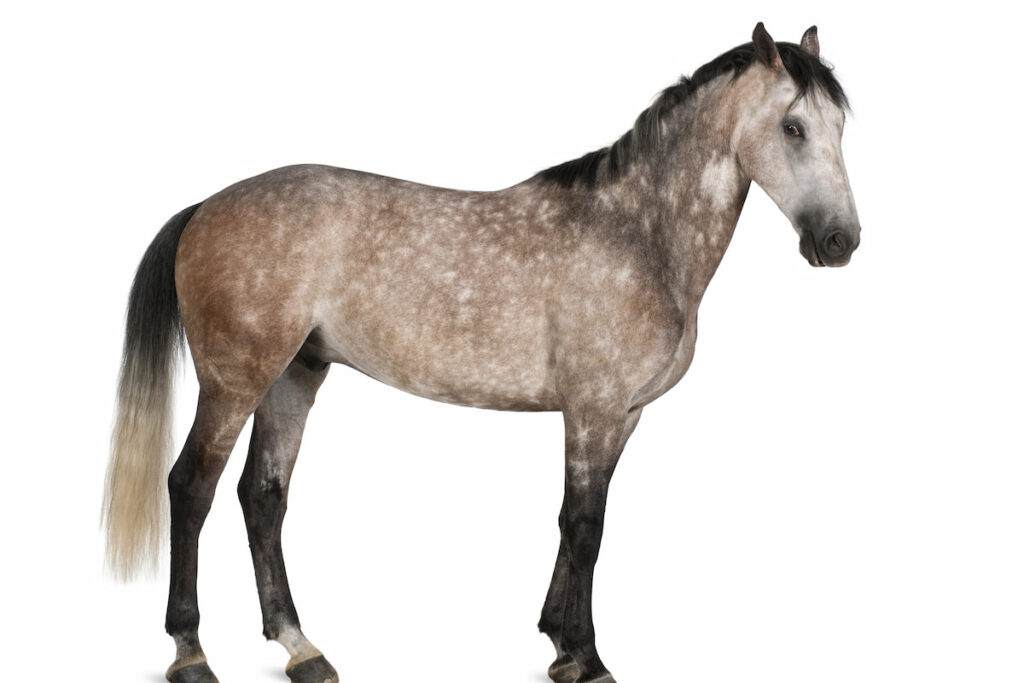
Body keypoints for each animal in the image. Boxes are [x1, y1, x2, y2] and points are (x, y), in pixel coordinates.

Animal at [101, 22, 856, 683]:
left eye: (841, 127)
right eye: (793, 127)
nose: (840, 241)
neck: (637, 234)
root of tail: (205, 206)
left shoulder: (622, 416)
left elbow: (579, 521)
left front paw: (559, 645)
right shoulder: (593, 410)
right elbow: (584, 525)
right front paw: (588, 658)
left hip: (294, 375)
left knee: (263, 497)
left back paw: (302, 649)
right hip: (236, 381)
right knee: (191, 488)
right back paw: (191, 655)